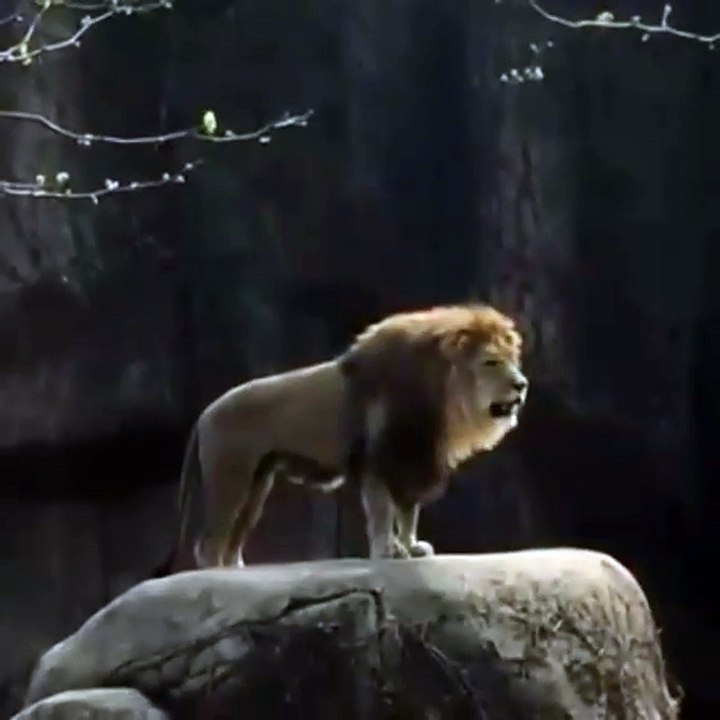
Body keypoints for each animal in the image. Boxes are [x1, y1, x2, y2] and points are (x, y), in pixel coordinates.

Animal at [155, 303, 528, 573]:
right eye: (491, 362)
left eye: (513, 360)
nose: (522, 385)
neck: (442, 397)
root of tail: (204, 414)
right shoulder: (380, 459)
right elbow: (382, 511)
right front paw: (387, 551)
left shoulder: (412, 458)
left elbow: (408, 512)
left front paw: (411, 546)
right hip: (230, 478)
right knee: (209, 543)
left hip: (257, 485)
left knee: (232, 539)